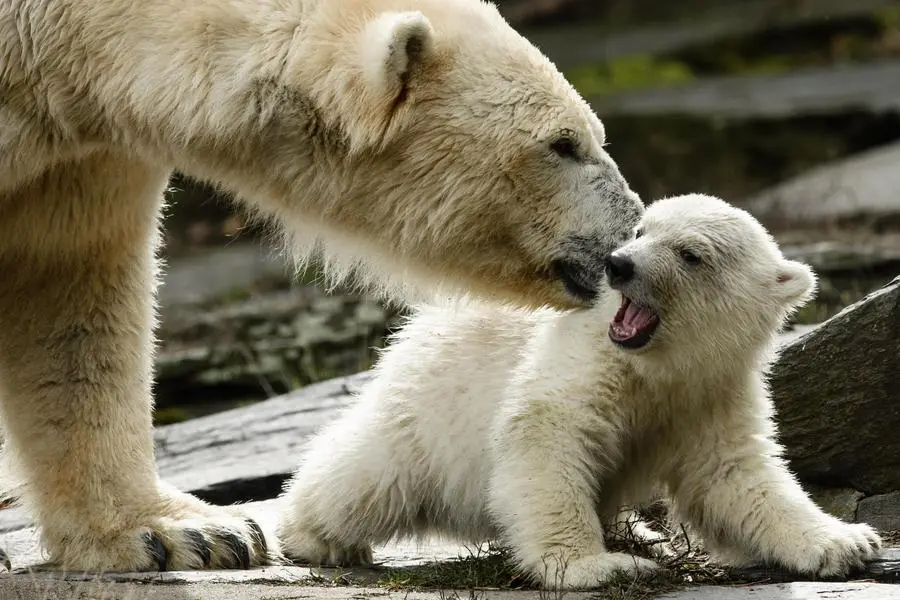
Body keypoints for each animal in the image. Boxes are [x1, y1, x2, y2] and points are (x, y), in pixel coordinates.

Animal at [0, 0, 644, 572]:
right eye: (562, 143)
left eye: (594, 133)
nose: (628, 234)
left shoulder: (83, 156)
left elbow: (71, 298)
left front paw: (188, 533)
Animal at [276, 193, 882, 589]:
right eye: (641, 230)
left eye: (691, 253)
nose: (619, 265)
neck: (659, 366)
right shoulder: (586, 364)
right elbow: (548, 439)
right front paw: (597, 567)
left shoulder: (710, 392)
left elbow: (737, 476)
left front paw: (847, 542)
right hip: (430, 406)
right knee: (369, 476)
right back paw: (312, 534)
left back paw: (641, 532)